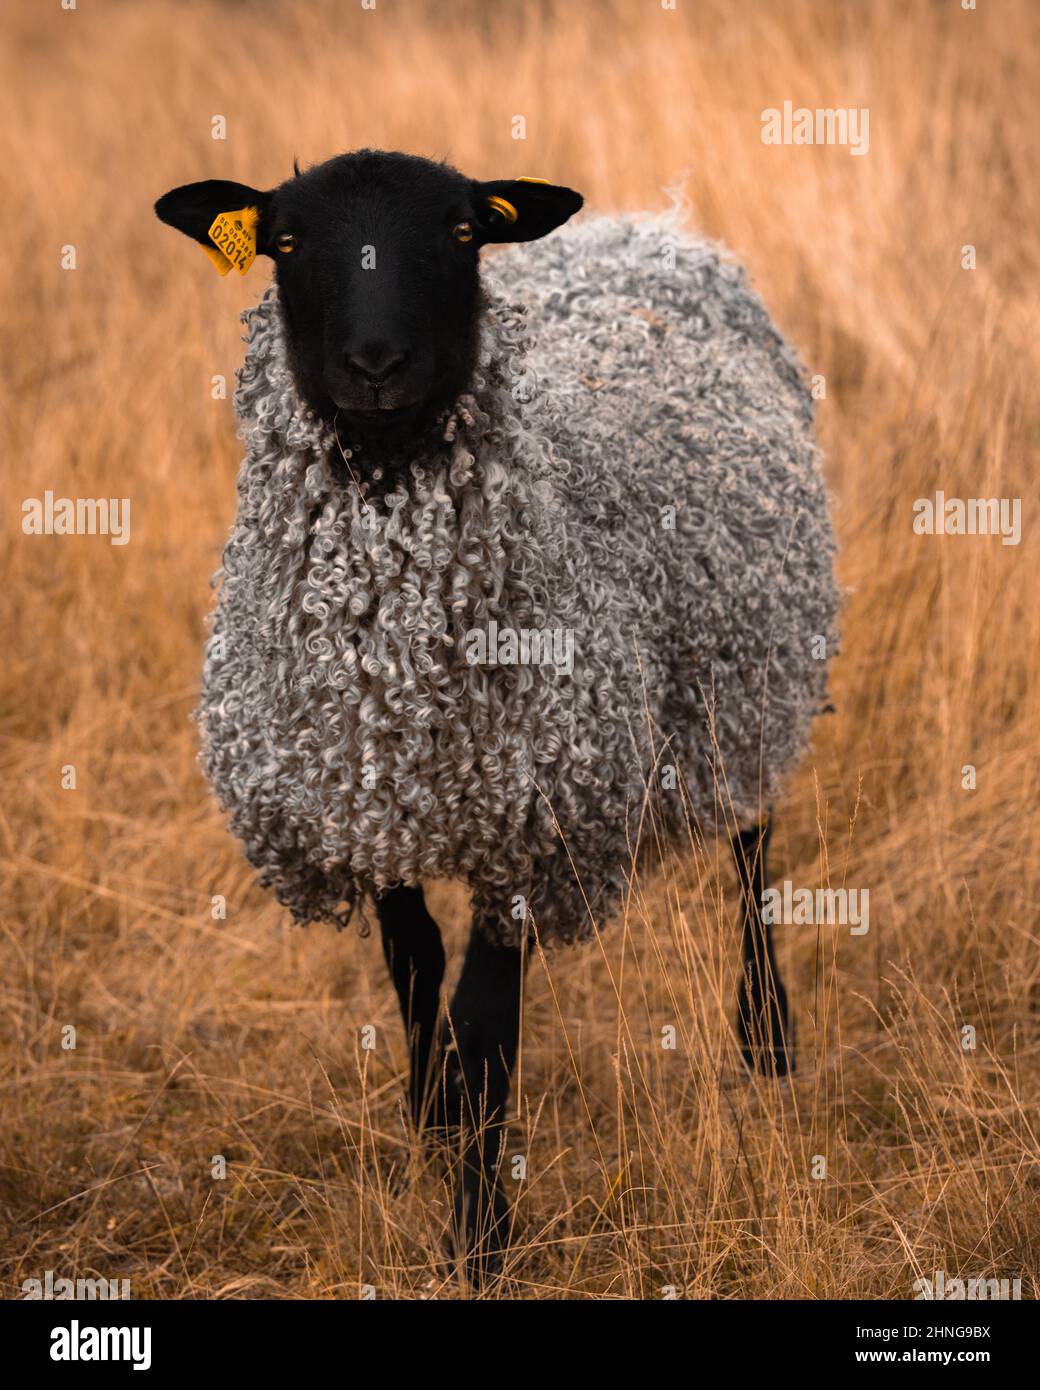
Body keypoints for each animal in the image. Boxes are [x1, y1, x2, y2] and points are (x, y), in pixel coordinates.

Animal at [155, 149, 840, 1282]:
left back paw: (767, 1038)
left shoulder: (528, 832)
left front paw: (480, 1238)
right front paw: (431, 1126)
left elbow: (484, 1032)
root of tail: (648, 226)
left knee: (751, 850)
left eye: (463, 230)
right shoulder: (366, 802)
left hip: (749, 679)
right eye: (286, 240)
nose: (376, 362)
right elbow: (413, 971)